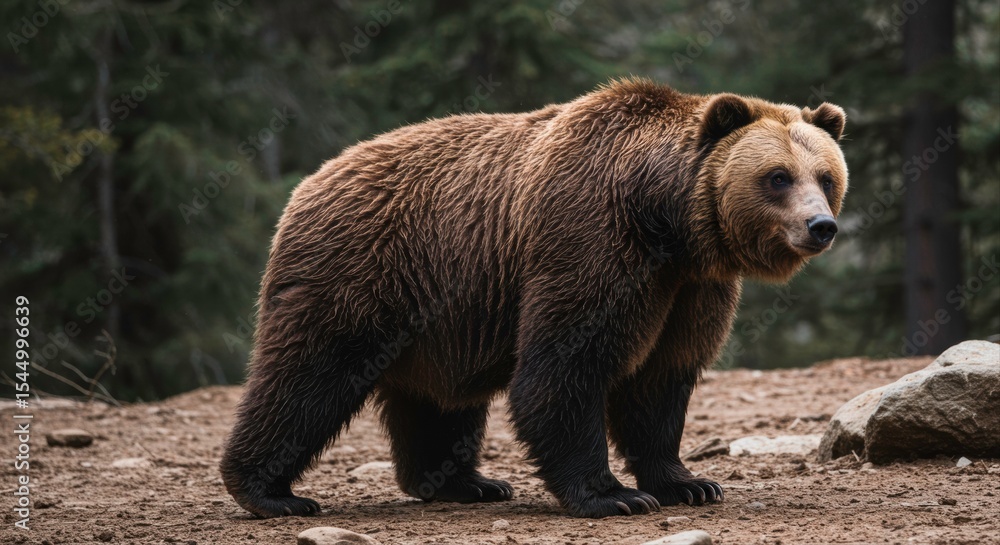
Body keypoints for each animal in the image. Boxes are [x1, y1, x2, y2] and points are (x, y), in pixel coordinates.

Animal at [220, 78, 848, 519]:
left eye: (826, 175)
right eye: (777, 176)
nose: (821, 226)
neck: (665, 220)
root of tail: (310, 182)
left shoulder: (691, 287)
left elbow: (661, 378)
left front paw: (689, 482)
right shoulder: (590, 238)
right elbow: (564, 365)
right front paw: (613, 495)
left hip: (442, 307)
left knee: (438, 397)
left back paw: (466, 483)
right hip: (358, 272)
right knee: (308, 375)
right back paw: (269, 492)